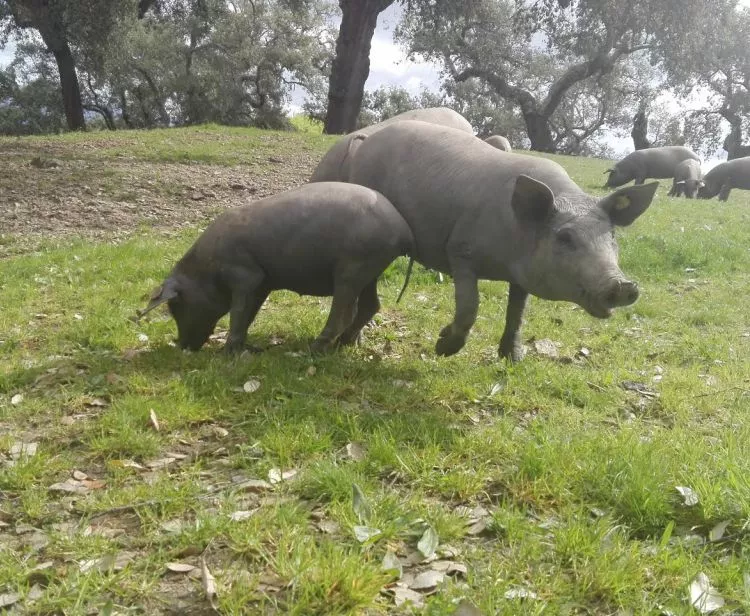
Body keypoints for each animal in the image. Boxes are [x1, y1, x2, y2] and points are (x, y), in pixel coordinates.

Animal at [138, 183, 414, 354]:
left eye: (175, 306)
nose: (180, 345)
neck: (207, 269)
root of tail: (403, 229)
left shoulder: (246, 275)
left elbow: (237, 312)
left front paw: (227, 352)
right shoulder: (262, 283)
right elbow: (249, 313)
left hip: (353, 268)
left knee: (344, 313)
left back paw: (311, 350)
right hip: (370, 271)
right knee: (370, 306)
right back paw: (342, 345)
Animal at [346, 120, 656, 360]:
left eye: (611, 235)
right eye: (565, 237)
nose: (624, 285)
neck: (506, 261)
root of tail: (369, 140)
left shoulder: (521, 276)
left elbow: (517, 313)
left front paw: (513, 358)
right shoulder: (459, 250)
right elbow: (470, 307)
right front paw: (442, 347)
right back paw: (351, 344)